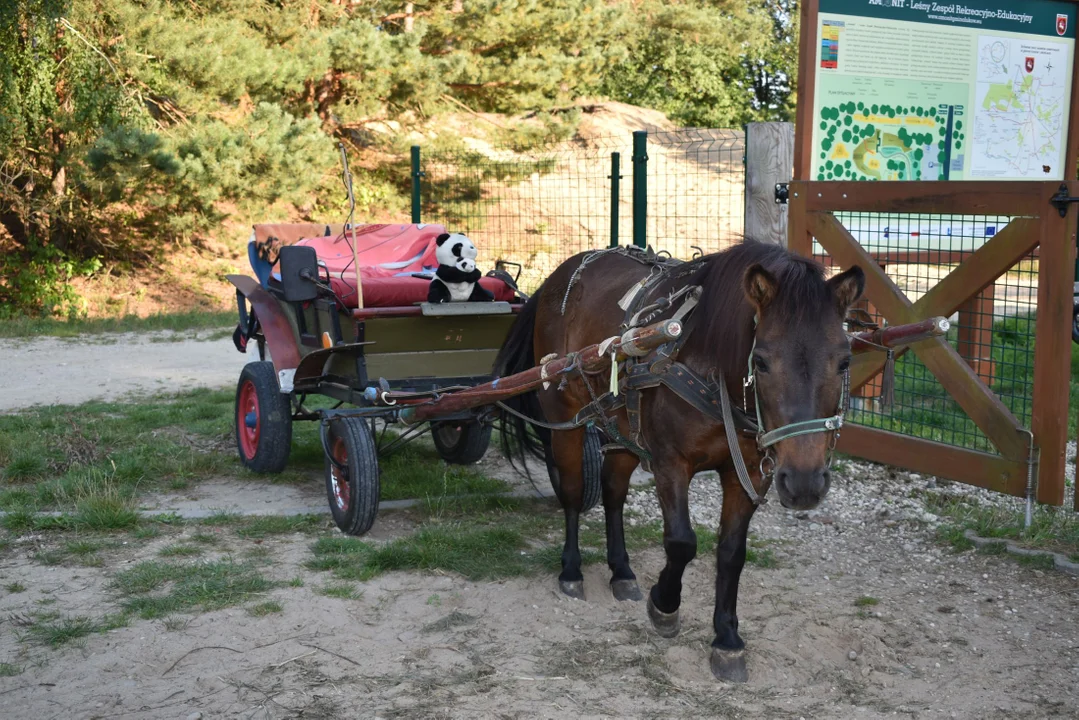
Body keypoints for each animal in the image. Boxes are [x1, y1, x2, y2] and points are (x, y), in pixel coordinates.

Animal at [494, 239, 863, 686]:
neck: (711, 362)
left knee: (614, 493)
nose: (806, 483)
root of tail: (557, 276)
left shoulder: (747, 473)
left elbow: (732, 553)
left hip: (622, 428)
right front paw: (664, 605)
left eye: (844, 361)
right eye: (761, 361)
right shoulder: (671, 463)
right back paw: (571, 571)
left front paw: (726, 638)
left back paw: (622, 571)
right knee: (572, 492)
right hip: (565, 417)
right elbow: (682, 542)